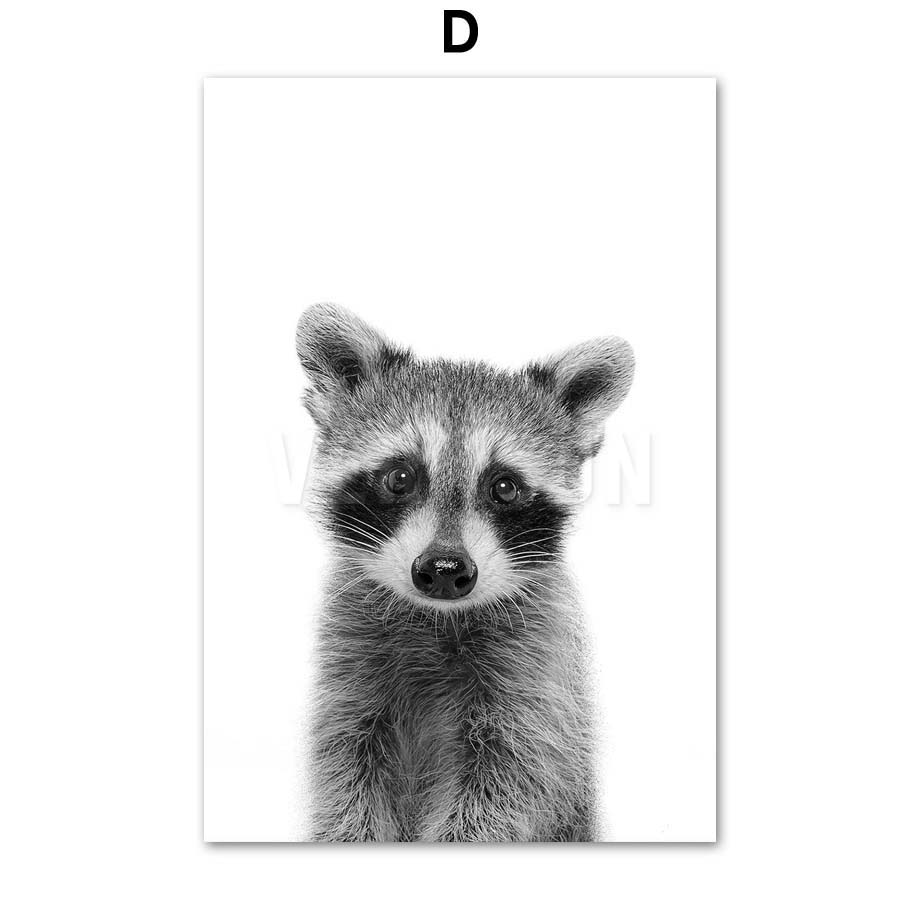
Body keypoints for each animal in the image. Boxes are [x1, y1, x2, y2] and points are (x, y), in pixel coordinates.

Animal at [296, 303, 634, 842]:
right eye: (400, 477)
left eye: (505, 487)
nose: (444, 568)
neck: (435, 616)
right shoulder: (349, 673)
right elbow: (344, 783)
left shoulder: (536, 681)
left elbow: (506, 788)